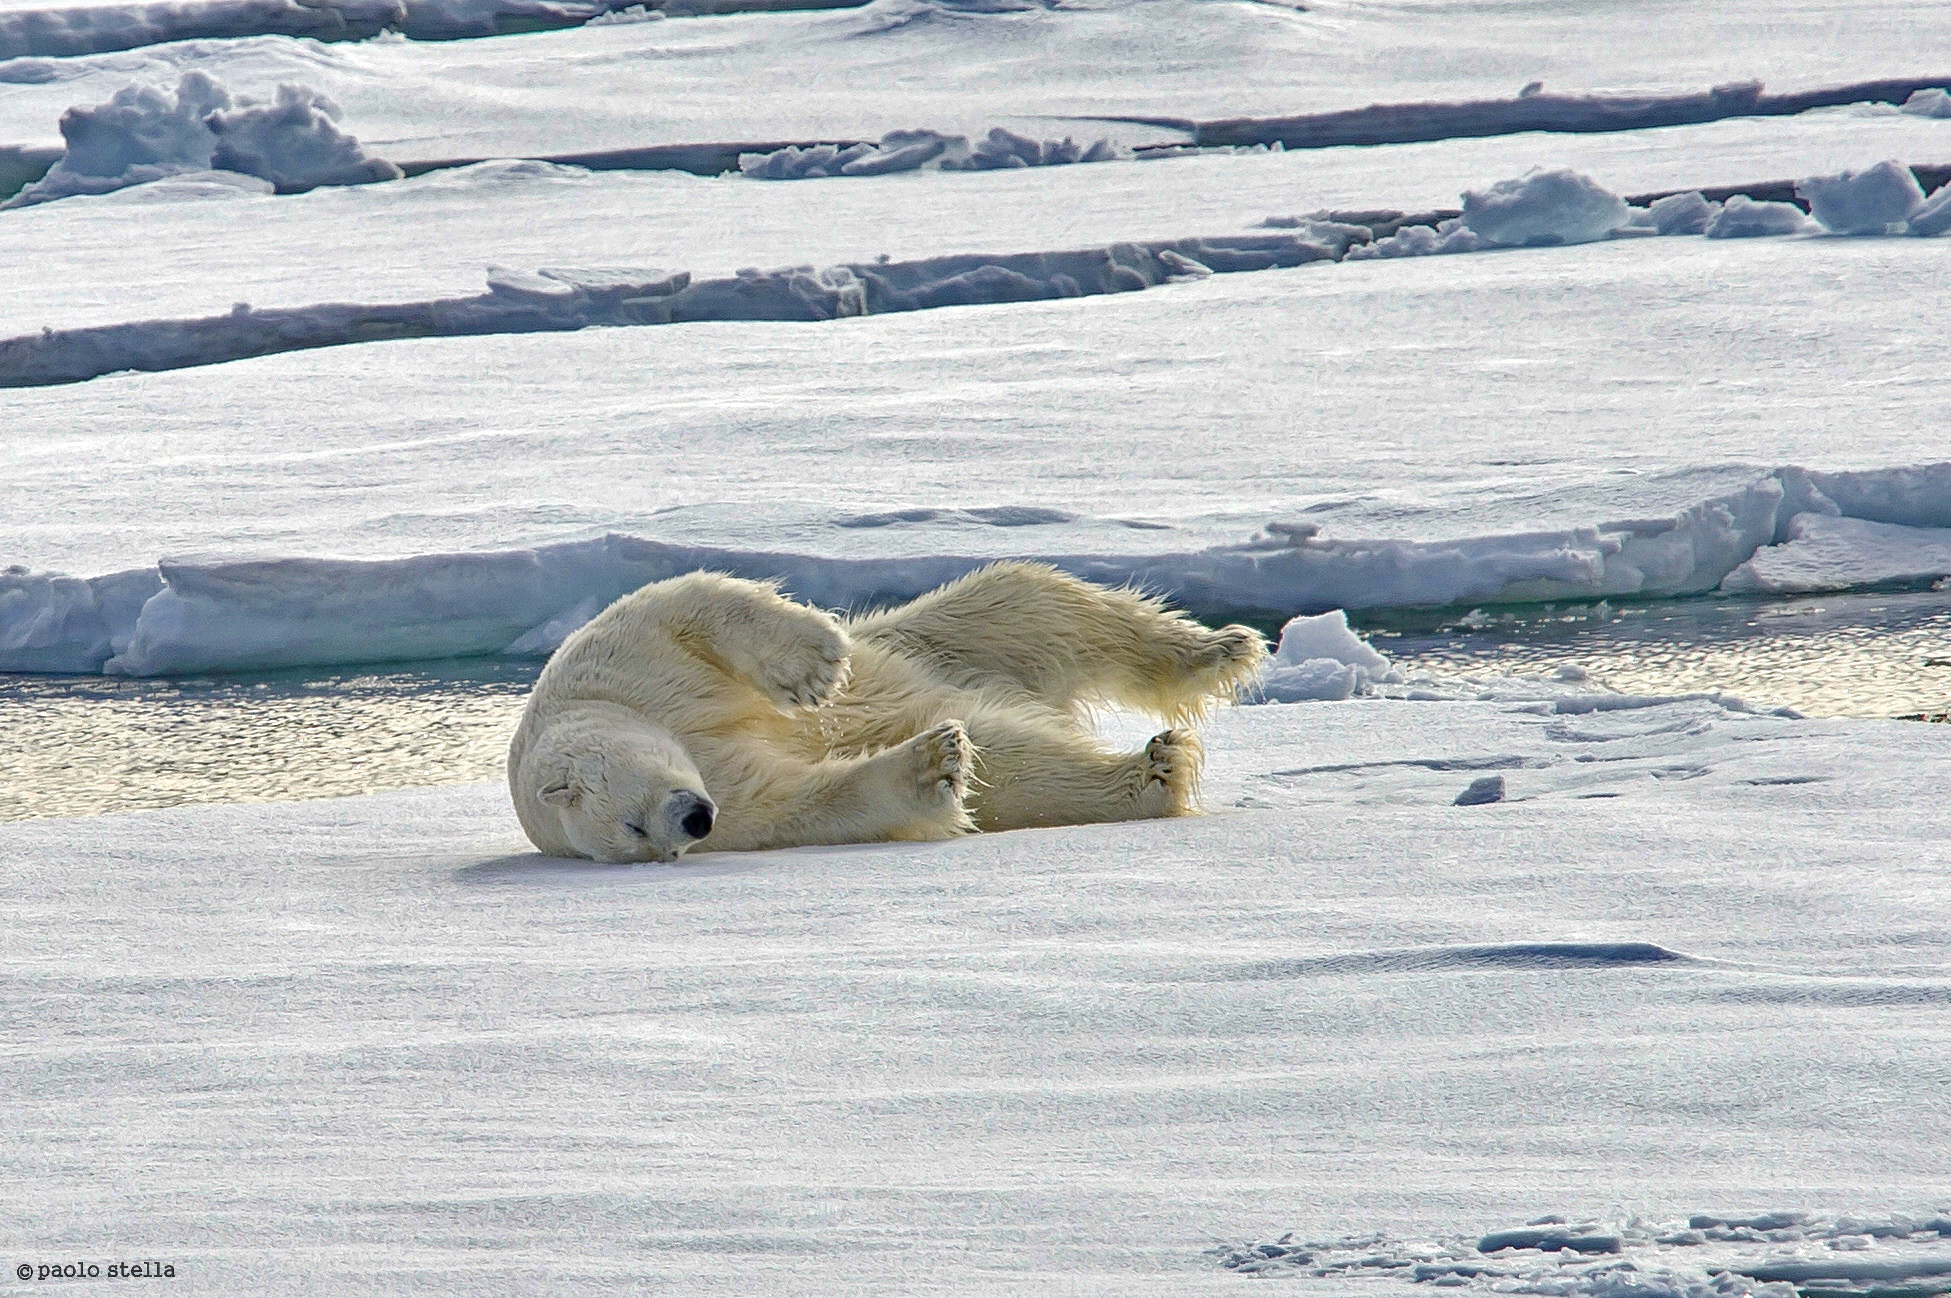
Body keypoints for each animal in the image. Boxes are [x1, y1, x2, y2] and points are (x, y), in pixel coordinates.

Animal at [506, 562, 1267, 862]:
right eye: (637, 837)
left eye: (635, 814)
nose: (694, 821)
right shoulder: (739, 805)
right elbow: (811, 801)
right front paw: (933, 763)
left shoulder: (613, 667)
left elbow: (686, 604)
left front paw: (812, 673)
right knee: (1019, 759)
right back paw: (1150, 771)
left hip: (931, 635)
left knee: (1033, 601)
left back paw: (1219, 649)